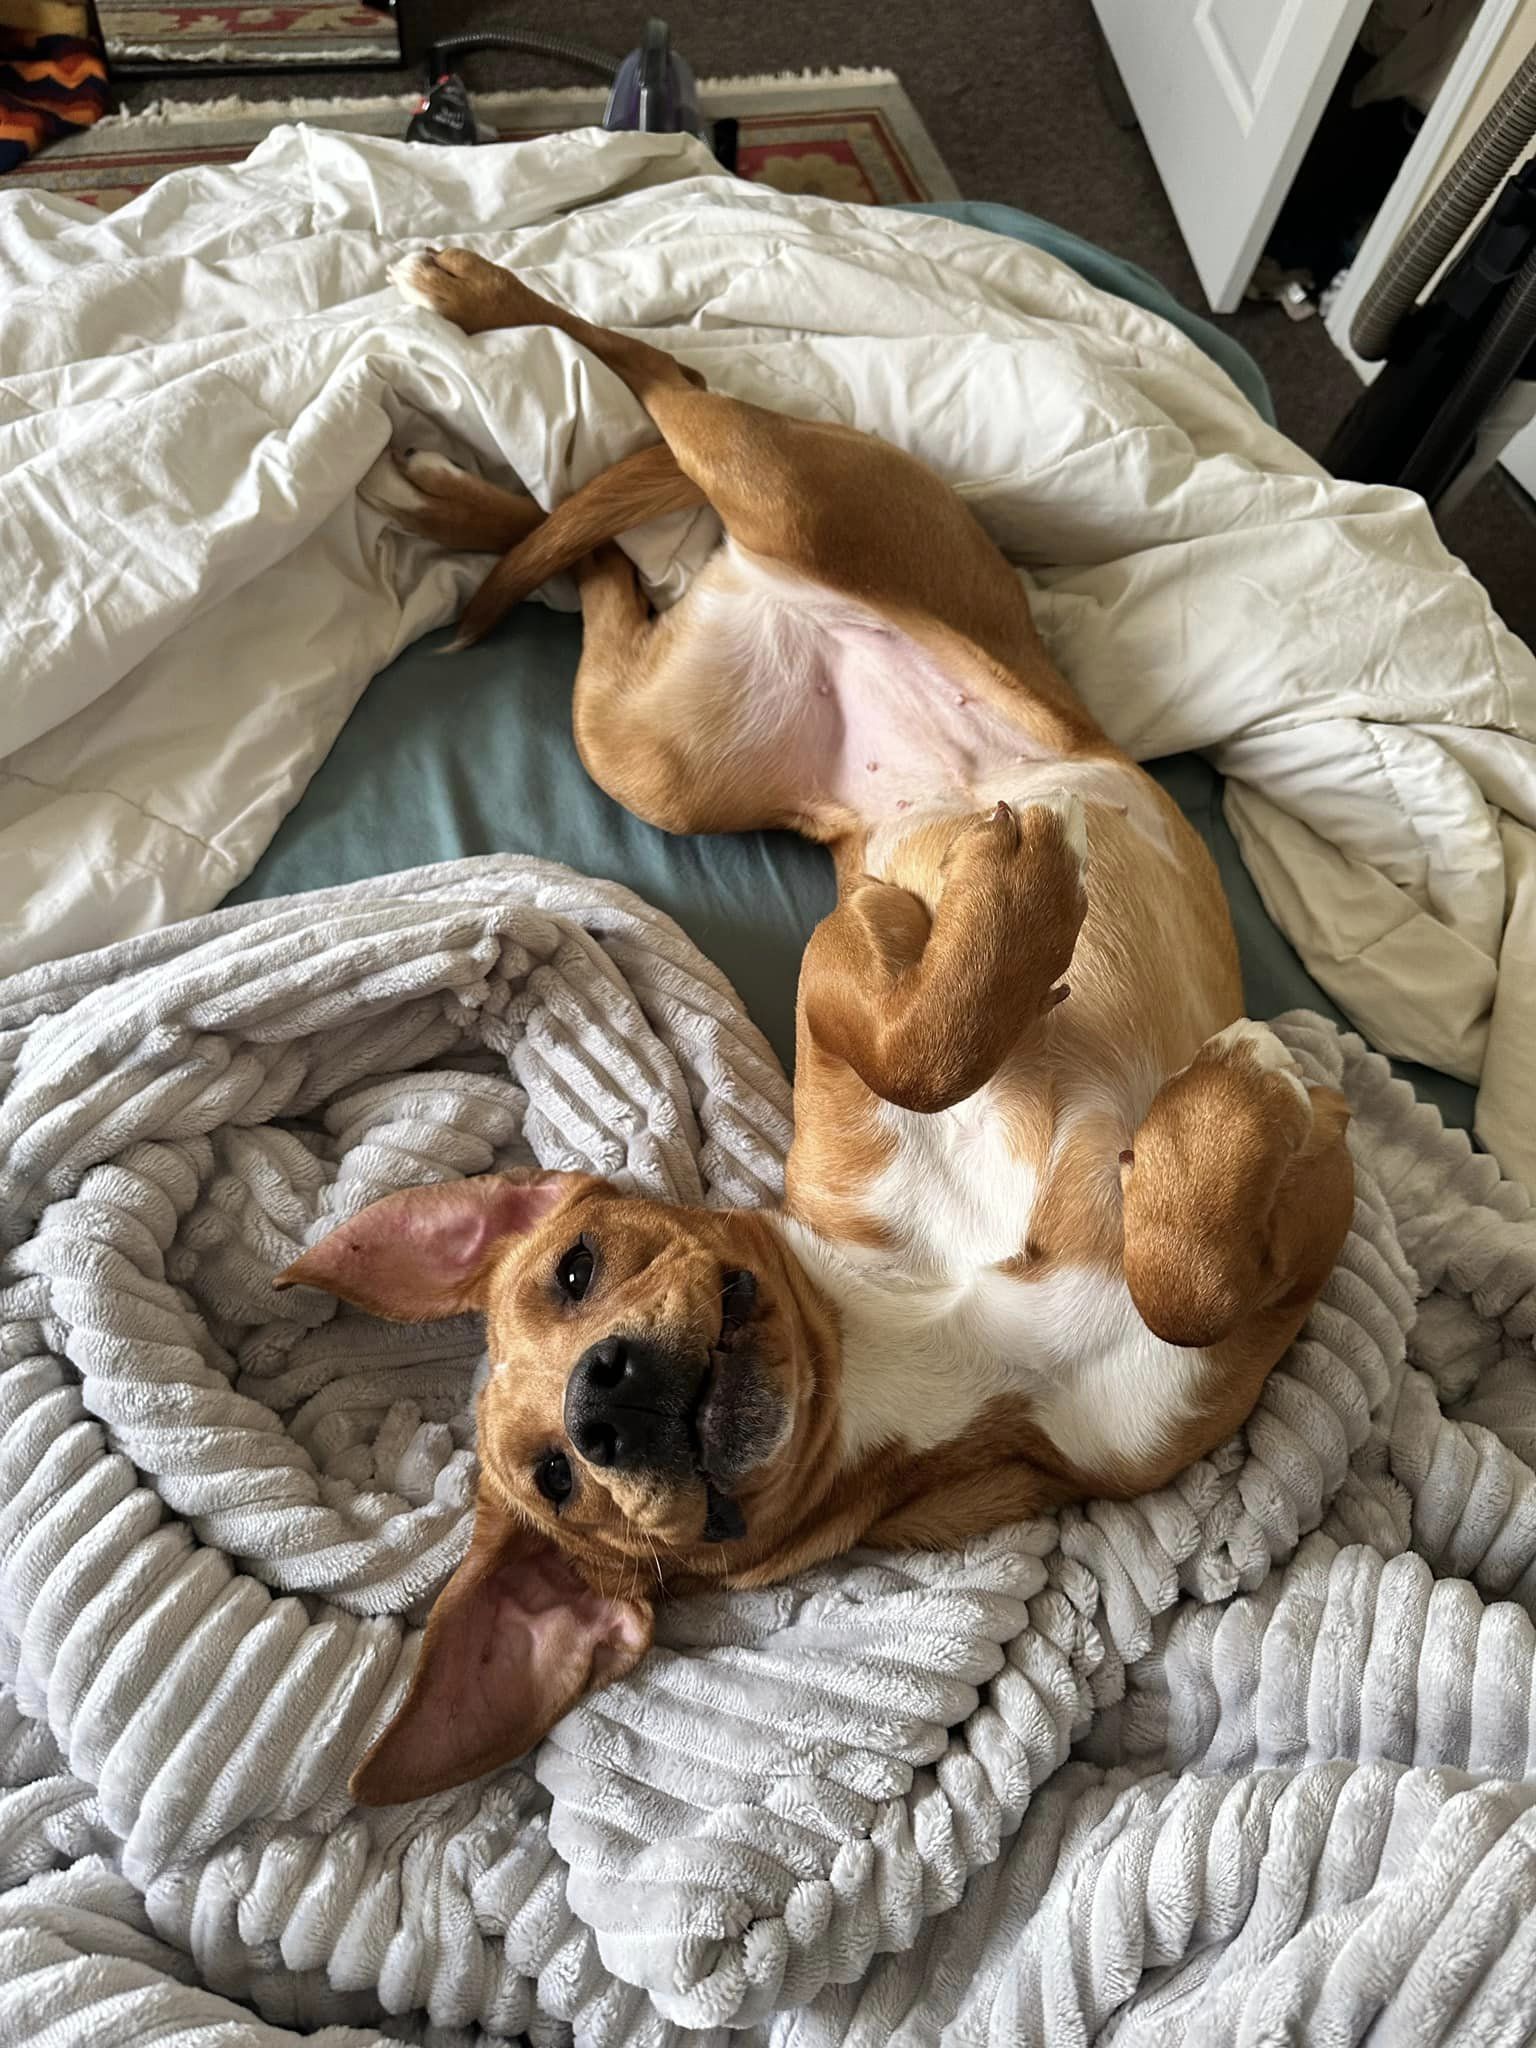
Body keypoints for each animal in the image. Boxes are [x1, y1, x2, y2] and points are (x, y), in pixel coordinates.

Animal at [276, 247, 1359, 1802]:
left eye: (575, 1269)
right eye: (555, 1478)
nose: (604, 1401)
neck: (924, 1329)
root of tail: (759, 597)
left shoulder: (846, 980)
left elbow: (945, 1049)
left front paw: (1022, 933)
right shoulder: (1260, 1294)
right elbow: (1184, 1267)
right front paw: (1242, 1075)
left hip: (792, 507)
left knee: (659, 408)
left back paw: (464, 347)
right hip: (655, 741)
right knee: (610, 547)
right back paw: (467, 479)